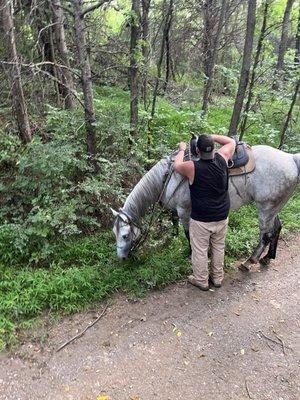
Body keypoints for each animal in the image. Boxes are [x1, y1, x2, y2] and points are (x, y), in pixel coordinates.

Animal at [112, 146, 300, 268]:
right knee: (277, 228)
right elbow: (174, 223)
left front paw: (190, 254)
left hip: (265, 208)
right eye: (114, 233)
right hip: (274, 207)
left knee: (265, 235)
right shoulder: (176, 210)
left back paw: (250, 261)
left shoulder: (185, 211)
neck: (169, 176)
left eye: (125, 235)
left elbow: (188, 234)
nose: (121, 258)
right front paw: (172, 238)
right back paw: (268, 257)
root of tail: (290, 158)